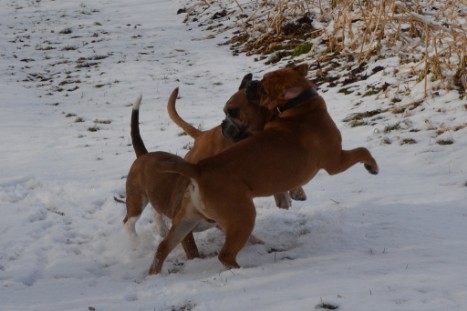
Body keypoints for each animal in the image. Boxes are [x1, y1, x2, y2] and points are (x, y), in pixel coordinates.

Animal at [124, 75, 308, 260]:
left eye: (233, 111)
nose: (223, 124)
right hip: (138, 196)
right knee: (132, 220)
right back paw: (138, 240)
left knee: (156, 208)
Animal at [148, 64, 378, 276]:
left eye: (264, 84)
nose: (251, 82)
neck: (299, 107)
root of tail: (198, 169)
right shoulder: (335, 162)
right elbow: (362, 150)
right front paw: (372, 166)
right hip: (242, 216)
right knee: (225, 255)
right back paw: (246, 270)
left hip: (186, 219)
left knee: (163, 247)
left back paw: (154, 273)